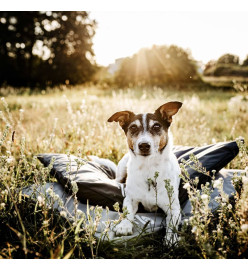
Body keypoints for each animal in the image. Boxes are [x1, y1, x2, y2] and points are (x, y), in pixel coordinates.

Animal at [108, 101, 182, 245]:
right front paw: (124, 225)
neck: (148, 167)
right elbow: (127, 212)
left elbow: (172, 223)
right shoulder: (130, 199)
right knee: (117, 180)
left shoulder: (173, 207)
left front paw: (171, 238)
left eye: (157, 126)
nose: (143, 145)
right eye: (133, 127)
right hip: (122, 168)